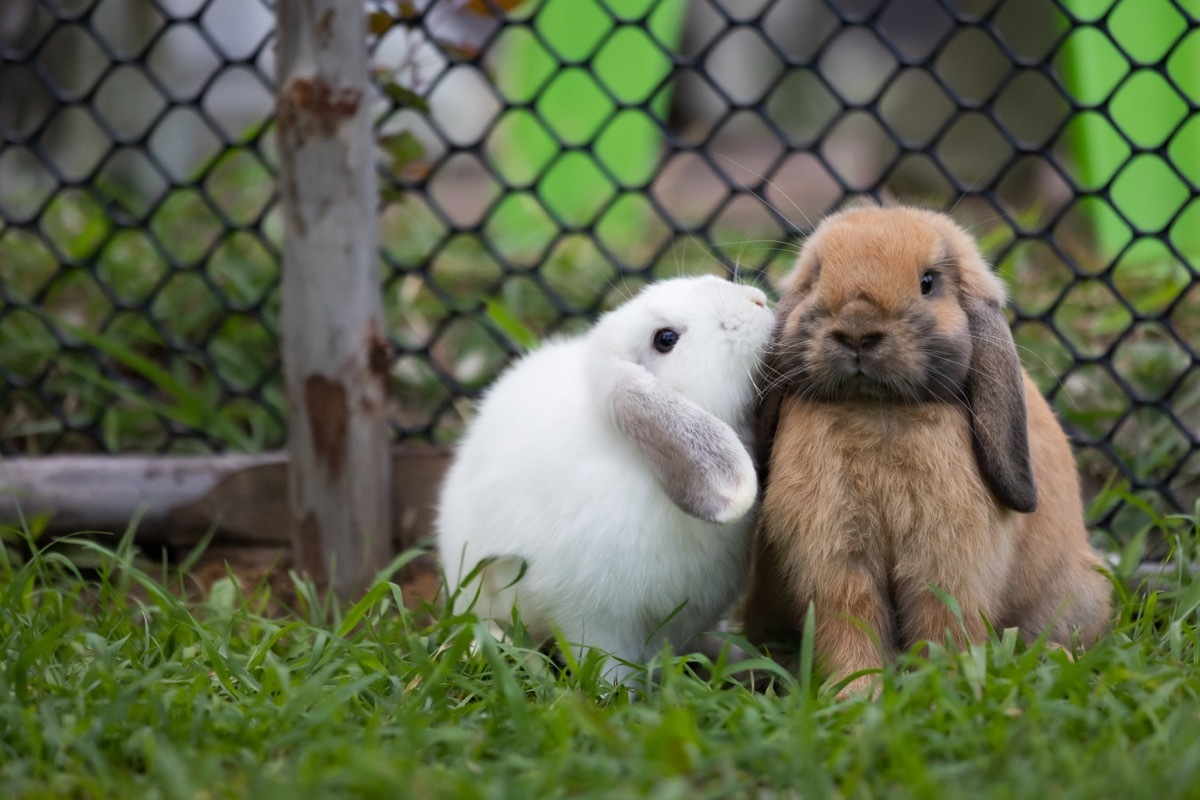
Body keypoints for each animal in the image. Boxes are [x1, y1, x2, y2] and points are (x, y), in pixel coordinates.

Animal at [744, 206, 1108, 695]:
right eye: (818, 275)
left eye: (929, 282)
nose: (857, 330)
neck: (876, 411)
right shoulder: (836, 557)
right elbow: (851, 621)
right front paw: (858, 692)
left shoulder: (947, 560)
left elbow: (943, 624)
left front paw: (943, 685)